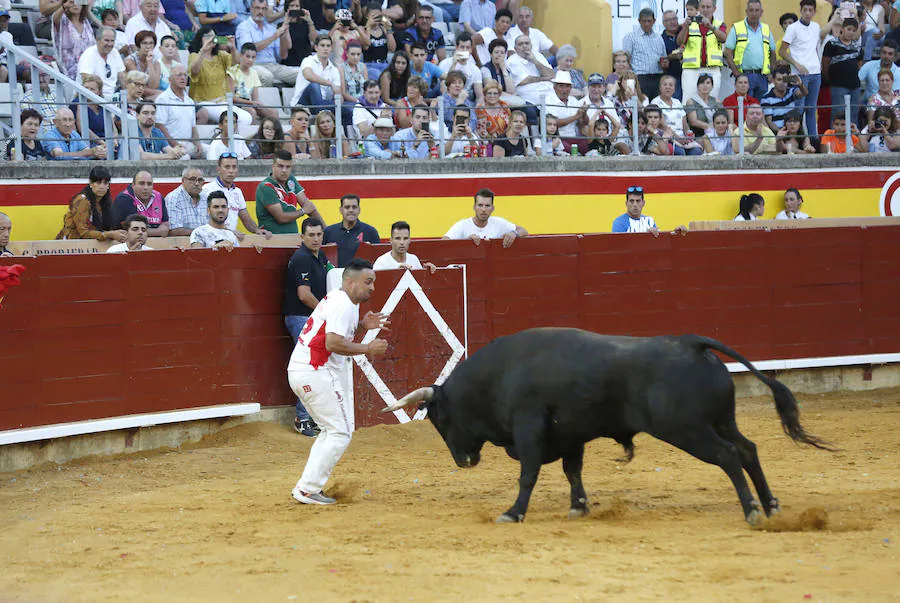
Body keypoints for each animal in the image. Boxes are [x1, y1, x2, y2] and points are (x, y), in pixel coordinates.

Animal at [384, 328, 832, 528]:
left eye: (440, 419)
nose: (463, 461)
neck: (500, 374)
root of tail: (691, 344)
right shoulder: (569, 436)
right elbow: (572, 471)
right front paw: (579, 506)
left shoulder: (530, 430)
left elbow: (528, 474)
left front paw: (513, 512)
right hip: (721, 420)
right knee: (749, 448)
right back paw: (770, 505)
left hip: (687, 429)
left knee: (728, 455)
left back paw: (752, 510)